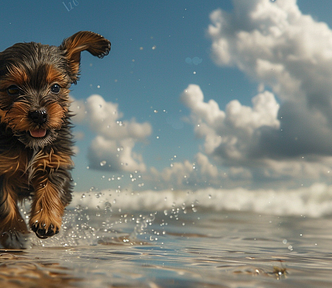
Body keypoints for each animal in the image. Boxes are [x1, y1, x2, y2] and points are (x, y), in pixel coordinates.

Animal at [0, 31, 111, 248]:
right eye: (12, 90)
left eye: (56, 88)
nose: (39, 114)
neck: (29, 145)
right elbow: (5, 204)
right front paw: (14, 232)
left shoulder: (56, 161)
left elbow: (53, 188)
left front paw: (46, 220)